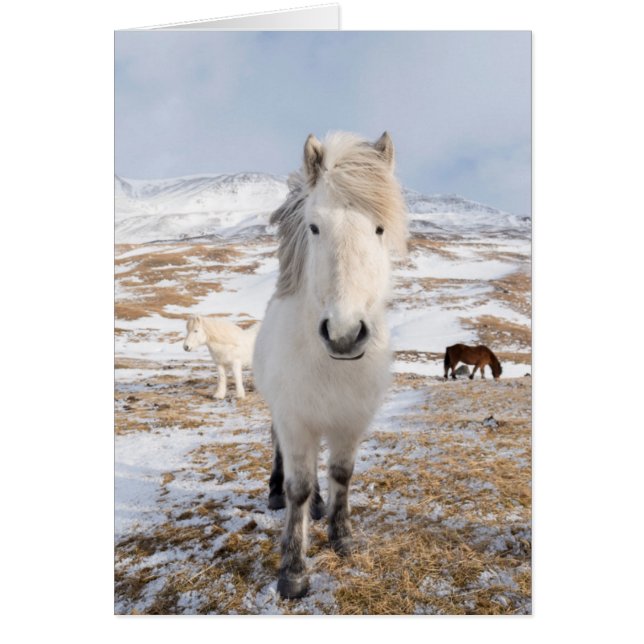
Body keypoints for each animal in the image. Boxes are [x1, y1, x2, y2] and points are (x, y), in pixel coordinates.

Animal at [253, 131, 408, 599]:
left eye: (379, 228)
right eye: (315, 226)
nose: (344, 333)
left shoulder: (350, 421)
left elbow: (342, 474)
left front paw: (343, 537)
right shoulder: (295, 419)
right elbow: (298, 487)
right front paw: (293, 570)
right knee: (281, 457)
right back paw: (276, 494)